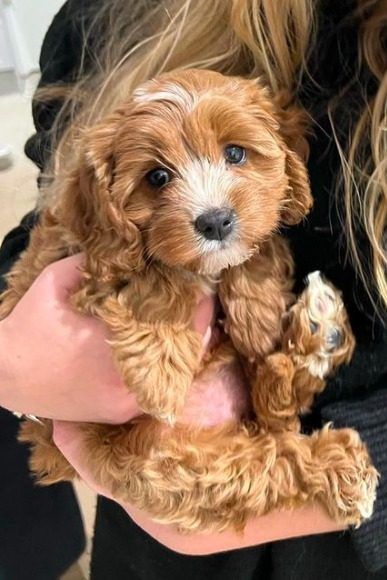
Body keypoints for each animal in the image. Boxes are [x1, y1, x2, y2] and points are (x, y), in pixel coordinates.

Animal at [0, 70, 378, 532]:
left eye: (235, 153)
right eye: (157, 178)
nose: (215, 221)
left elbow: (257, 249)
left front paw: (257, 315)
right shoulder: (80, 264)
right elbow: (159, 273)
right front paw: (159, 372)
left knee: (277, 421)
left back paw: (318, 344)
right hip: (165, 466)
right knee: (270, 460)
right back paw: (334, 459)